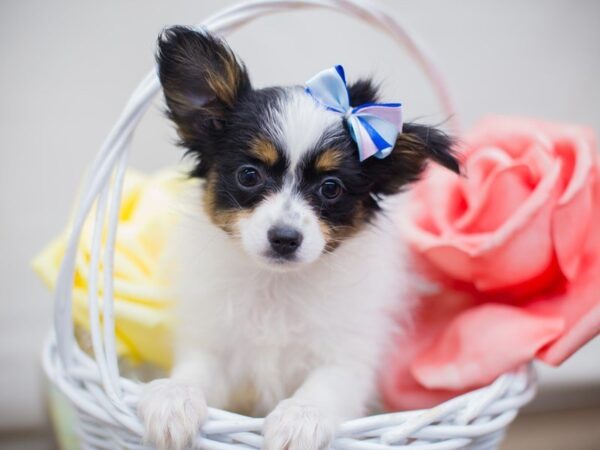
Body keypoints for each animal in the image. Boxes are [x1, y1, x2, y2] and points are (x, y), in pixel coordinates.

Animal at [139, 25, 460, 450]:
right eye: (248, 175)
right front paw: (172, 398)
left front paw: (299, 419)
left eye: (331, 188)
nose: (285, 238)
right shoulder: (217, 347)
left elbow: (323, 386)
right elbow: (196, 371)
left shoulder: (347, 357)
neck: (278, 287)